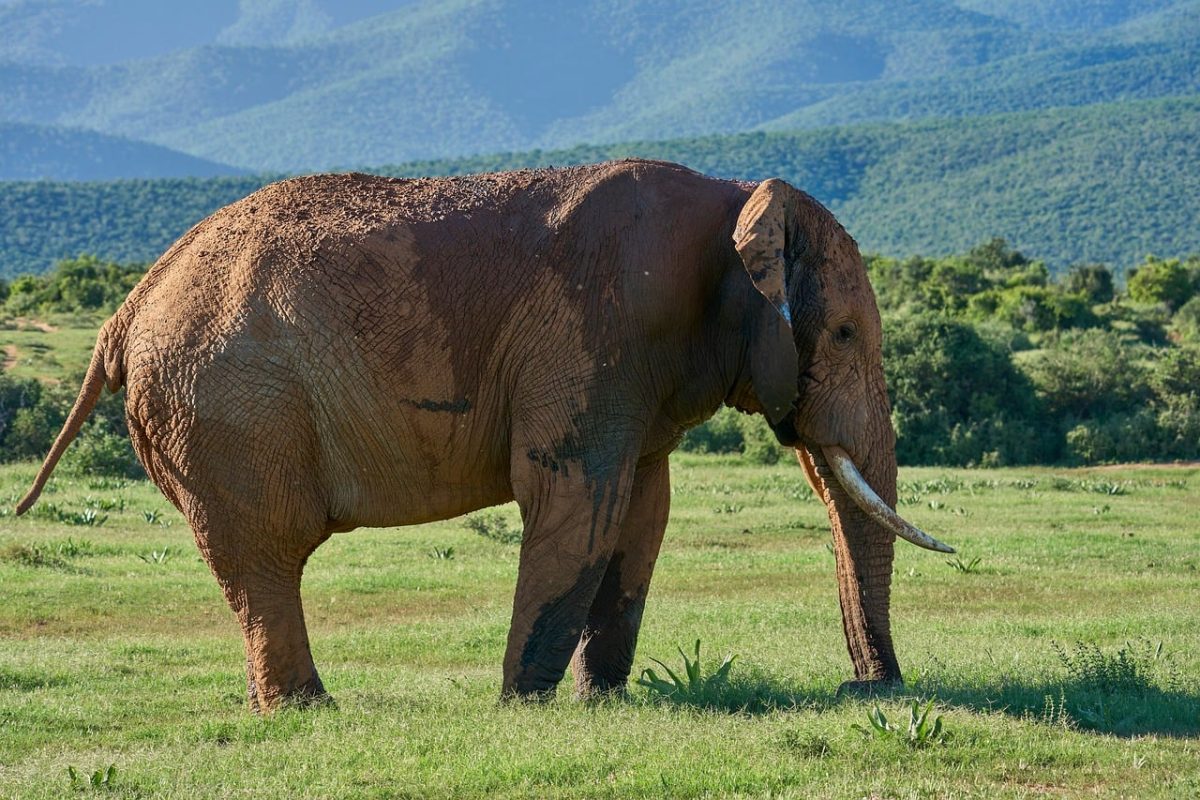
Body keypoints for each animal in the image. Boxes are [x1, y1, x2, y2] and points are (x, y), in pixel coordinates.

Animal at [18, 159, 952, 711]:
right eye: (843, 336)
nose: (870, 689)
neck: (733, 201)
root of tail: (126, 308)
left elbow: (641, 511)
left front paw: (603, 703)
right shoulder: (590, 331)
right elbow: (574, 496)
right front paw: (524, 707)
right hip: (227, 405)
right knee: (265, 557)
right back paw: (309, 710)